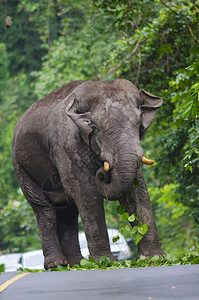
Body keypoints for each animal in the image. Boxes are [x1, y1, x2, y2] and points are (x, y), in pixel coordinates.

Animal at [12, 78, 165, 270]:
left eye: (138, 124)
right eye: (95, 127)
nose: (102, 173)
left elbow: (136, 191)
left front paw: (153, 258)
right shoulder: (67, 147)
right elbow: (87, 193)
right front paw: (106, 262)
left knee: (69, 211)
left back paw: (76, 264)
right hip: (21, 167)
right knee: (45, 210)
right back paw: (56, 265)